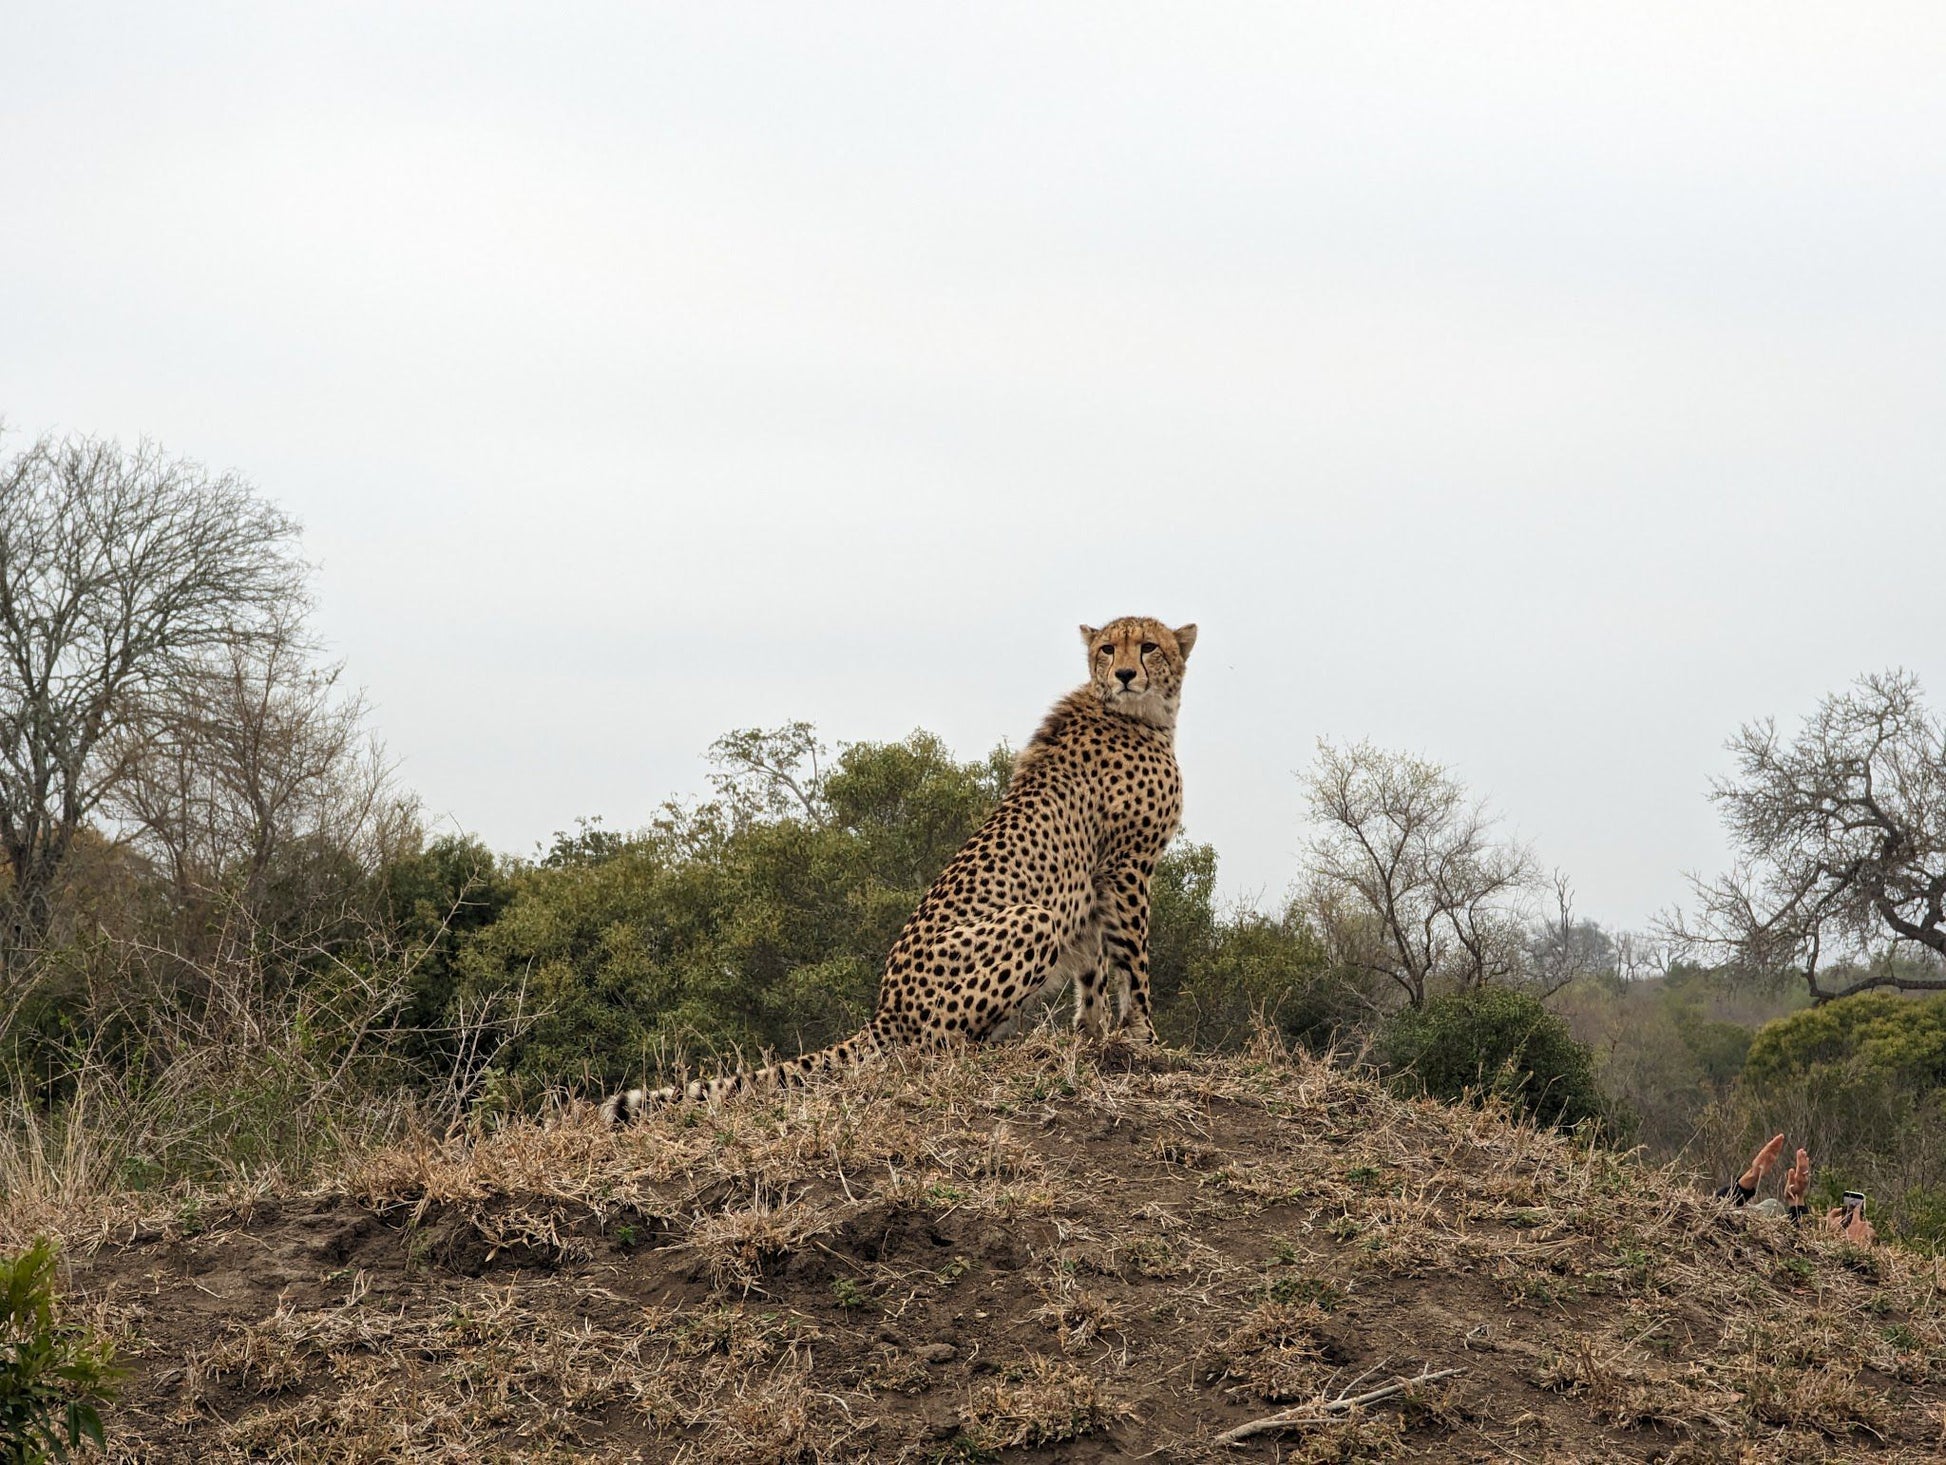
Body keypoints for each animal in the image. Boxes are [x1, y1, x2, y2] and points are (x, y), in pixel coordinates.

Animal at [599, 610, 1190, 1112]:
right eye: (1108, 648)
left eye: (1149, 647)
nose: (1126, 674)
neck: (1137, 714)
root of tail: (886, 1006)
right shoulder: (1128, 866)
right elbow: (1133, 961)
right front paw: (1146, 1040)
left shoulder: (1096, 884)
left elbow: (1095, 969)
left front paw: (1093, 1039)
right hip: (1030, 921)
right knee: (932, 1047)